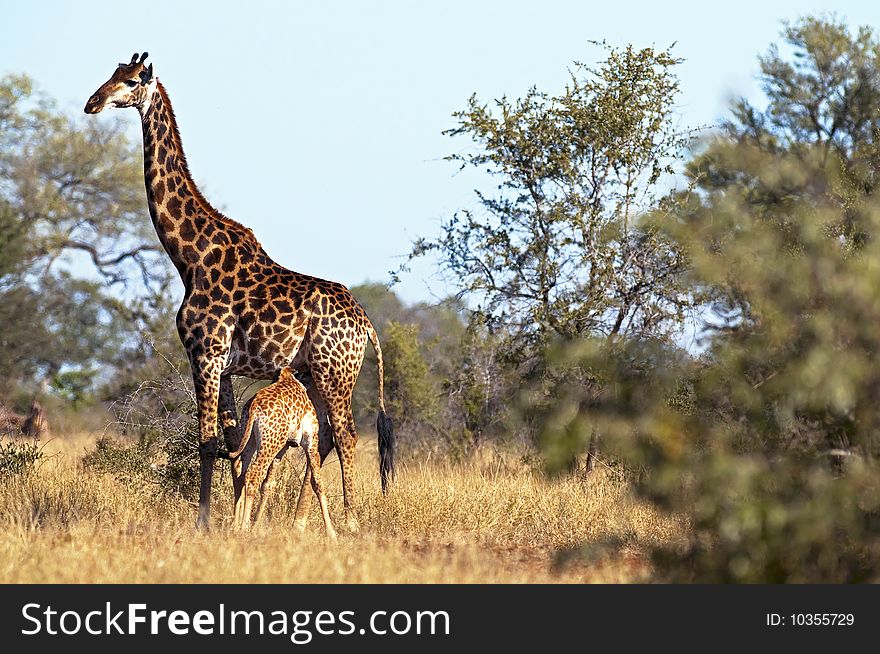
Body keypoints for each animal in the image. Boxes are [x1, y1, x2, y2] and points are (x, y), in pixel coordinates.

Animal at [227, 366, 336, 540]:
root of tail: (254, 406)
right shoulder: (311, 440)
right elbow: (318, 482)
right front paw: (332, 533)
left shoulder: (284, 446)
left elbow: (268, 484)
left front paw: (256, 526)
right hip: (269, 442)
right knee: (252, 474)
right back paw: (243, 527)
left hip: (253, 439)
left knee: (240, 473)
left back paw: (235, 525)